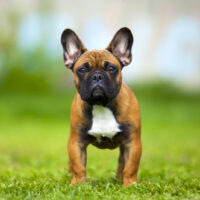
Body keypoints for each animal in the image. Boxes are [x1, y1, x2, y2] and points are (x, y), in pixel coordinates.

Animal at [60, 27, 141, 187]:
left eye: (111, 68)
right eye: (82, 70)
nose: (97, 76)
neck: (101, 105)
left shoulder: (133, 142)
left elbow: (131, 166)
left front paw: (130, 185)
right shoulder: (76, 142)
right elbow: (78, 165)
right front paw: (78, 185)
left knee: (122, 162)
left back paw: (119, 179)